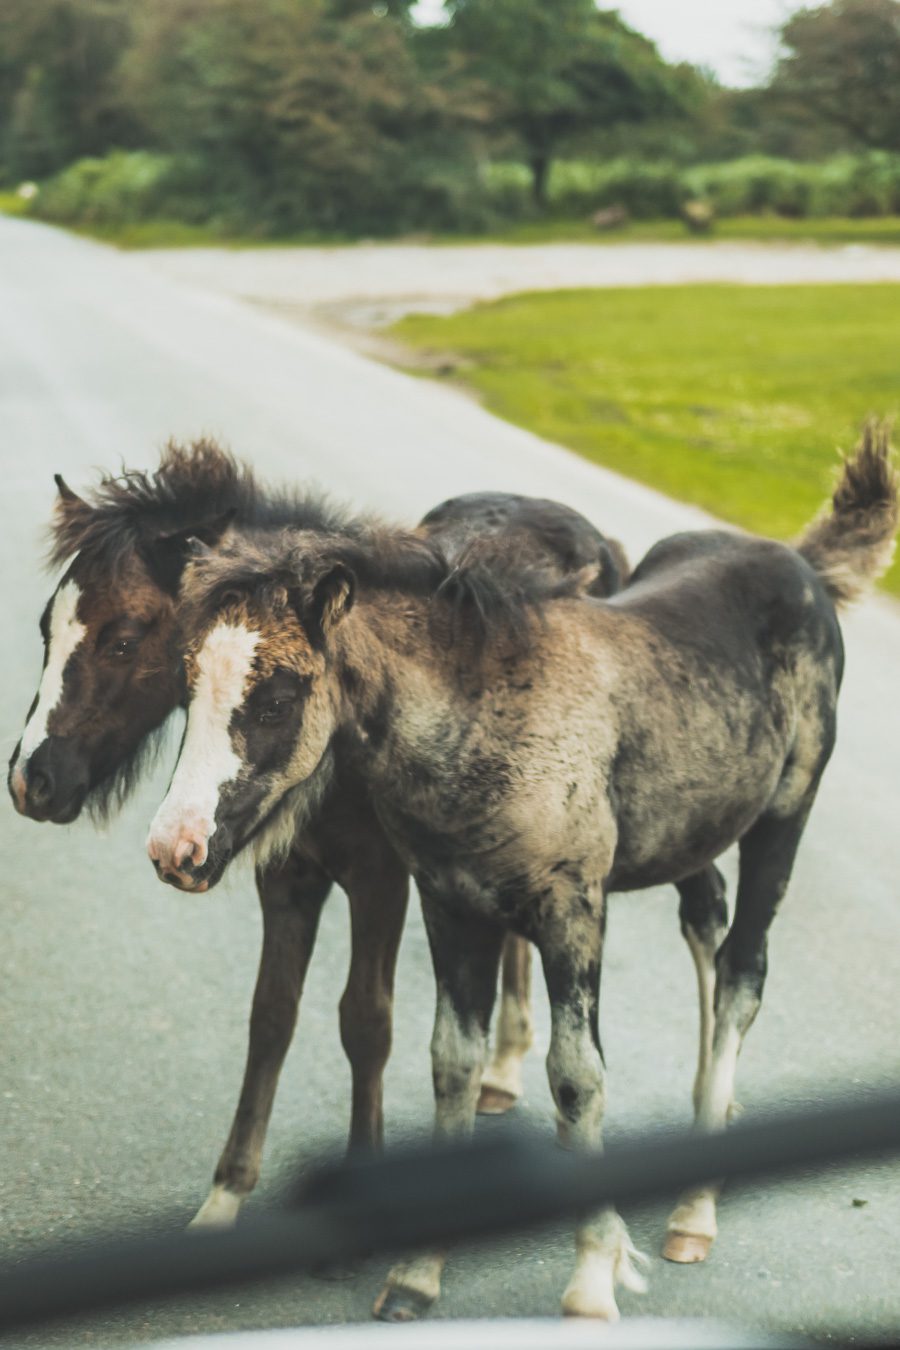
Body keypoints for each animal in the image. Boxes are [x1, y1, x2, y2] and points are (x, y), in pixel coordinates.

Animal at [146, 429, 895, 1317]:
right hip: (693, 828)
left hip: (784, 815)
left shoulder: (572, 909)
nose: (176, 849)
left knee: (745, 970)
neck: (484, 719)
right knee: (706, 922)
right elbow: (452, 1064)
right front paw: (416, 1273)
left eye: (278, 698)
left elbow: (577, 1077)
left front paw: (594, 1276)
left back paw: (695, 1208)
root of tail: (801, 563)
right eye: (187, 682)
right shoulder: (449, 905)